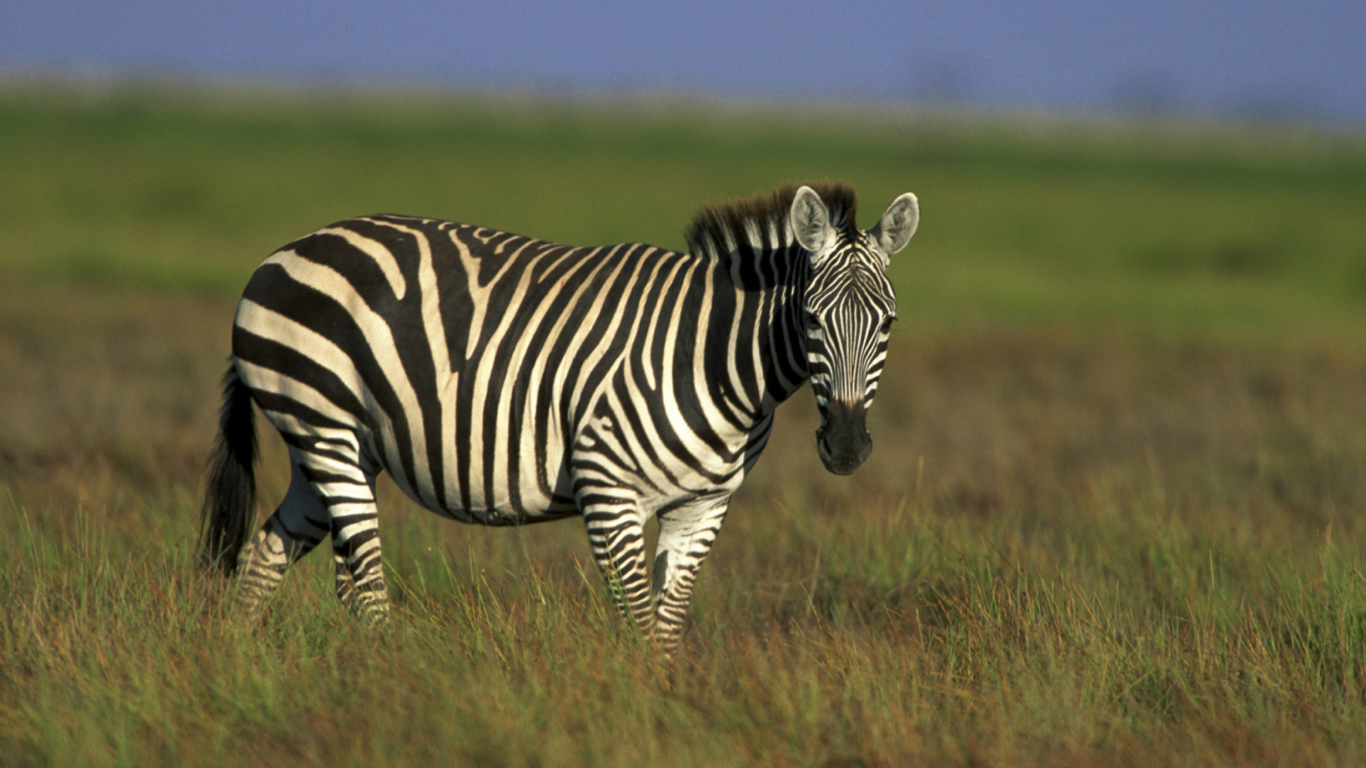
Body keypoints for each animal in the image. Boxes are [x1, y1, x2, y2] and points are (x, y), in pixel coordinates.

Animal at [199, 180, 917, 650]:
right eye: (813, 319)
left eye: (888, 324)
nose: (846, 447)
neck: (715, 358)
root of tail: (285, 252)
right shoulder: (608, 491)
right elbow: (637, 623)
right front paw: (642, 721)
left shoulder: (703, 505)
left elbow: (666, 630)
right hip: (323, 425)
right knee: (366, 590)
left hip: (333, 448)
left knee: (267, 558)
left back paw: (239, 669)